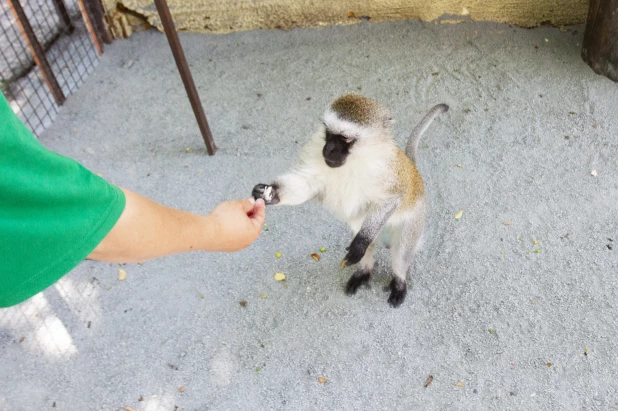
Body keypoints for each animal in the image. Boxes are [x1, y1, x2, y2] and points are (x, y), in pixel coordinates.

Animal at [251, 95, 448, 308]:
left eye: (345, 138)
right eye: (329, 133)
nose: (328, 148)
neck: (355, 162)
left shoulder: (389, 172)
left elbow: (391, 199)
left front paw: (361, 242)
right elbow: (308, 184)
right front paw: (271, 194)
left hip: (415, 219)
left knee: (401, 252)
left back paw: (399, 281)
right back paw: (365, 271)